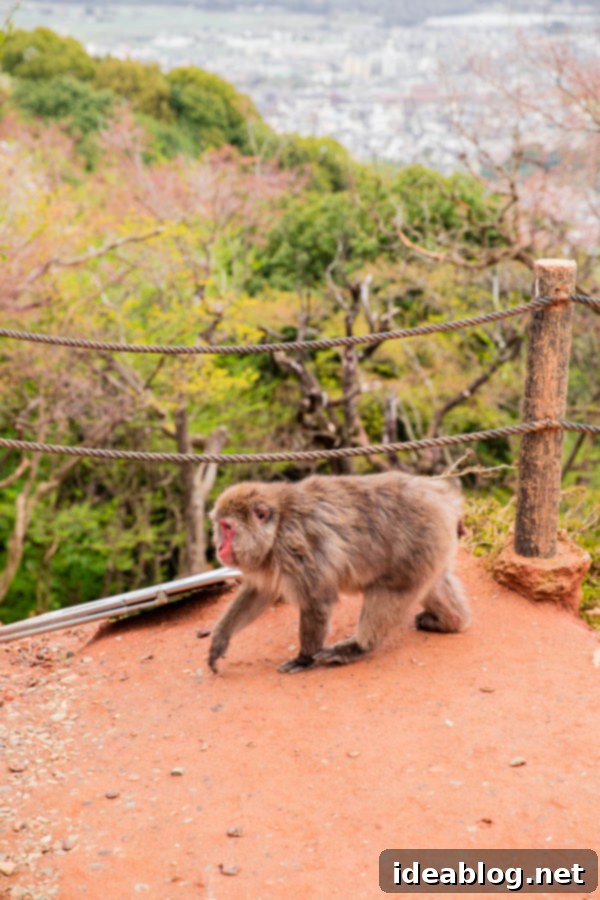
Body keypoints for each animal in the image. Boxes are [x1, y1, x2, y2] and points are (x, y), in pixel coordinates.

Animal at [208, 472, 471, 674]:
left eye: (228, 528)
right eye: (220, 527)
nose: (219, 547)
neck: (278, 525)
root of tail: (441, 497)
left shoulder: (295, 546)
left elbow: (316, 600)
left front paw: (304, 658)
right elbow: (259, 592)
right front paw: (220, 638)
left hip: (419, 540)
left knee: (391, 589)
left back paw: (357, 648)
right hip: (433, 545)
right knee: (433, 582)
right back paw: (452, 621)